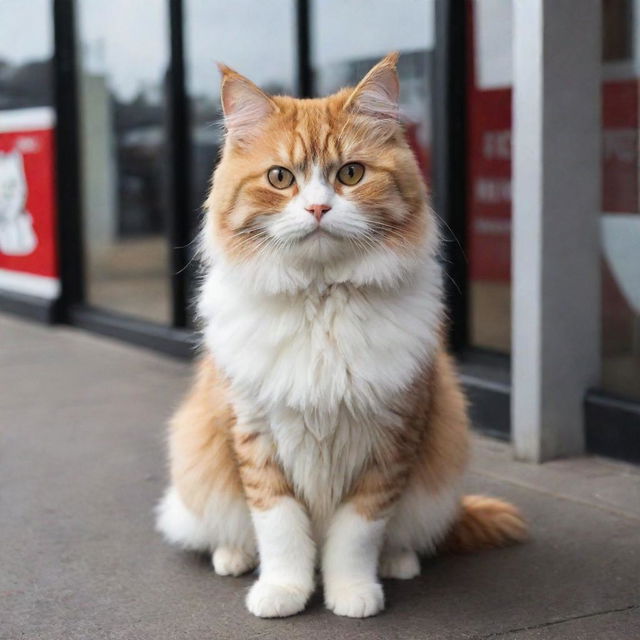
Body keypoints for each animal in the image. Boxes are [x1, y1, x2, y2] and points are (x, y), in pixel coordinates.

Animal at [155, 53, 524, 620]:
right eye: (280, 178)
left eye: (351, 174)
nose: (317, 209)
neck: (321, 297)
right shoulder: (256, 437)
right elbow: (280, 529)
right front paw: (283, 591)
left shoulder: (390, 443)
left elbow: (356, 535)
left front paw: (350, 591)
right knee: (222, 529)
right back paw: (233, 556)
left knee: (402, 536)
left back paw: (398, 562)